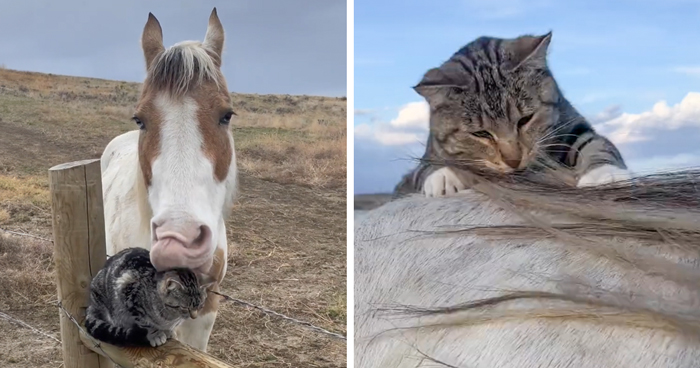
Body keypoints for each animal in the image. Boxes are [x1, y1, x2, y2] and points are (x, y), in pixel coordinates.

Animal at [83, 247, 213, 348]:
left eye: (200, 306)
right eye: (185, 307)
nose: (194, 316)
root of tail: (92, 304)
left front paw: (168, 331)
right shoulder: (128, 292)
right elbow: (146, 323)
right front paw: (156, 334)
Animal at [396, 33, 632, 197]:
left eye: (525, 119)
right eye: (480, 133)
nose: (513, 161)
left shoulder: (570, 124)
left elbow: (595, 143)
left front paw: (606, 174)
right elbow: (426, 165)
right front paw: (442, 175)